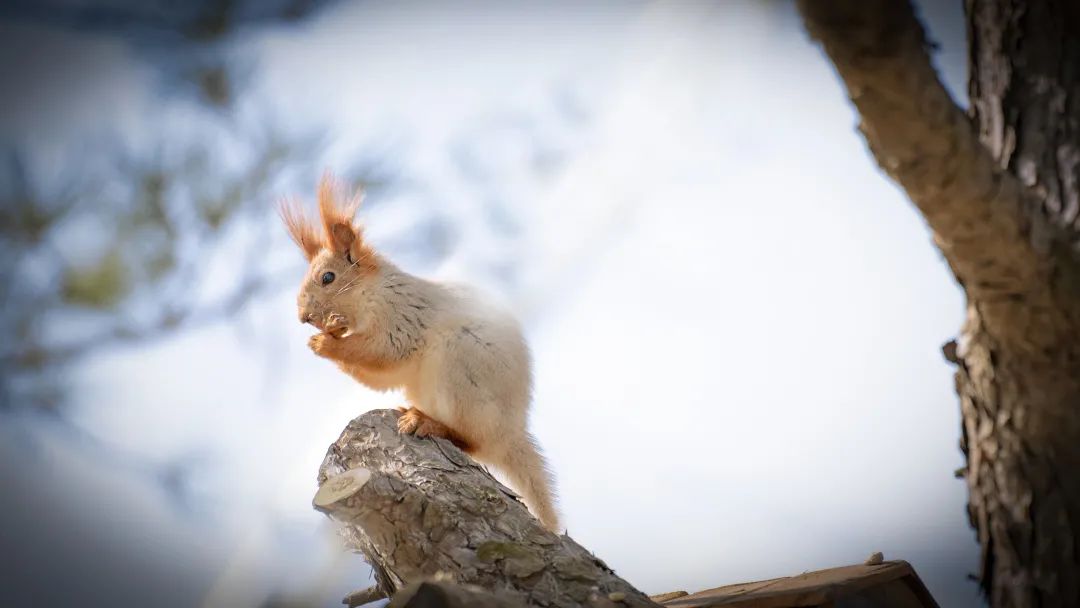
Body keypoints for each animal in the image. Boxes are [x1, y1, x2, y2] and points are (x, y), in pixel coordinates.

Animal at [278, 176, 561, 533]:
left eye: (327, 277)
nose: (303, 317)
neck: (372, 292)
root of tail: (511, 432)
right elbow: (378, 375)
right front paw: (328, 333)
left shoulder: (401, 320)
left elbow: (381, 351)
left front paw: (324, 341)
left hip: (458, 374)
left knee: (473, 442)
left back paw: (427, 423)